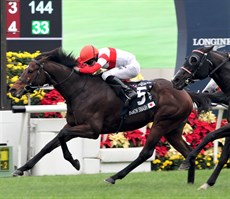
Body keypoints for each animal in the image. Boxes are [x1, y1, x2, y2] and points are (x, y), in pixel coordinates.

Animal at [172, 45, 230, 190]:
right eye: (186, 58)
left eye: (193, 59)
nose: (175, 80)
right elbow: (223, 157)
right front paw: (208, 183)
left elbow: (210, 135)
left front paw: (187, 160)